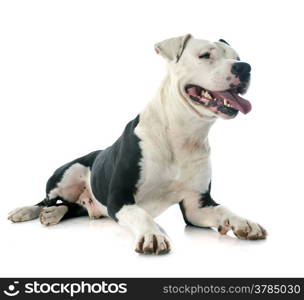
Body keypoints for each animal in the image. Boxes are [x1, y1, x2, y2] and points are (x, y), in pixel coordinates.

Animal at [8, 34, 266, 254]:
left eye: (237, 56)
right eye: (205, 55)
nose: (244, 67)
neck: (182, 134)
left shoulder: (197, 206)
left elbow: (223, 208)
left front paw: (244, 222)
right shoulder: (119, 198)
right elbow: (141, 215)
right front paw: (153, 234)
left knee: (71, 207)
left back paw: (53, 214)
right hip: (65, 175)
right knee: (46, 199)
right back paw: (27, 210)